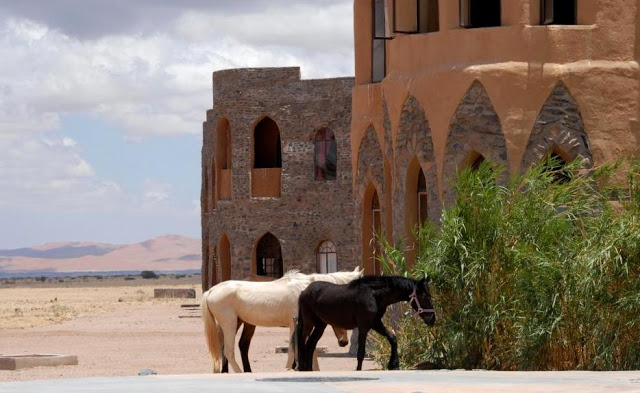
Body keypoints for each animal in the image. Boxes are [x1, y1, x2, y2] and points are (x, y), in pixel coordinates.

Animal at [202, 264, 362, 372]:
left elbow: (309, 348)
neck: (306, 291)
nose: (344, 342)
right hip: (230, 323)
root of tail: (211, 291)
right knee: (228, 350)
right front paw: (290, 368)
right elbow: (294, 348)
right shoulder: (296, 324)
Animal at [296, 274, 436, 370]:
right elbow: (361, 353)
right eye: (425, 296)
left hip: (321, 325)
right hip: (309, 323)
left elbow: (392, 338)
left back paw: (309, 369)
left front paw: (393, 364)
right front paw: (359, 370)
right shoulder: (363, 327)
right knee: (302, 342)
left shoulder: (375, 323)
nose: (432, 319)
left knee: (310, 345)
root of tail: (304, 292)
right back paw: (302, 367)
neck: (374, 295)